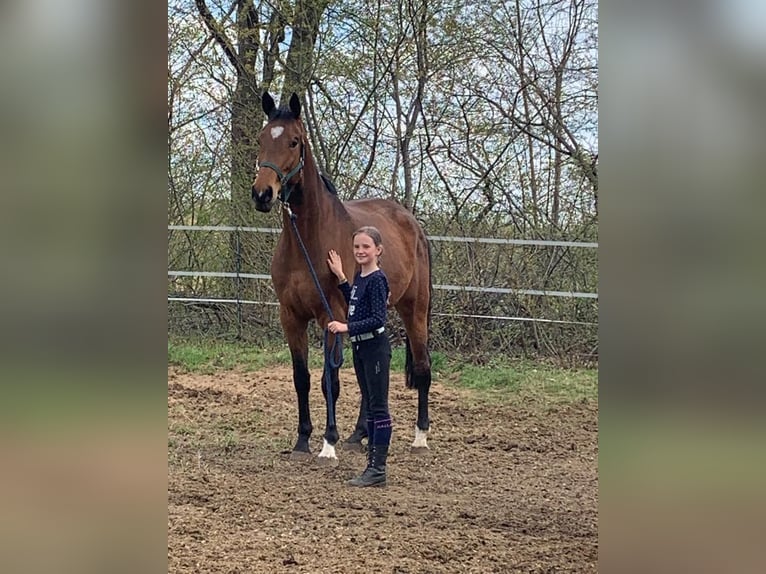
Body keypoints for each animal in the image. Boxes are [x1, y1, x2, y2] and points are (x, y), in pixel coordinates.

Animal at [252, 91, 432, 468]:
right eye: (261, 139)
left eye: (294, 141)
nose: (262, 194)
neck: (308, 241)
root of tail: (413, 223)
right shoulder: (291, 317)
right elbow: (302, 378)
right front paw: (302, 440)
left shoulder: (330, 316)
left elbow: (329, 380)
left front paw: (328, 443)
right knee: (372, 370)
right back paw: (359, 434)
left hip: (414, 308)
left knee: (422, 365)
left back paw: (420, 437)